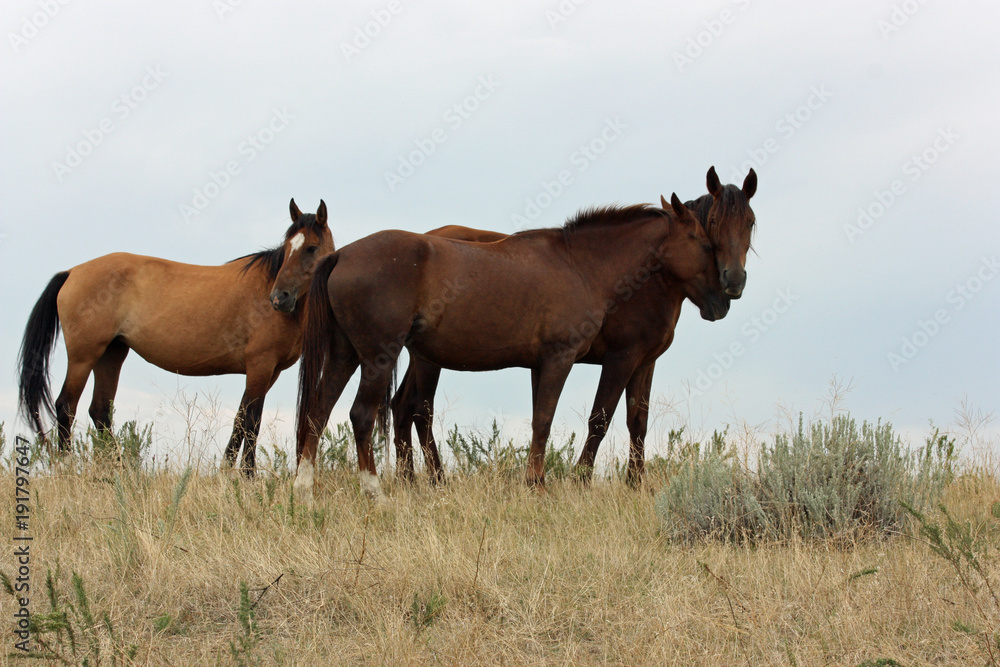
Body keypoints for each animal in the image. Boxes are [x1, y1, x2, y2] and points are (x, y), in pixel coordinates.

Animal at [16, 200, 336, 474]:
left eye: (311, 248)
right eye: (288, 246)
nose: (280, 298)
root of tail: (72, 272)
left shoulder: (268, 372)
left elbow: (239, 419)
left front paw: (225, 473)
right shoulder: (260, 366)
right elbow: (252, 422)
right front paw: (247, 476)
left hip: (111, 354)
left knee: (100, 411)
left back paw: (118, 471)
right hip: (84, 356)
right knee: (65, 407)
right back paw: (68, 470)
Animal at [292, 193, 732, 500]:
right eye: (703, 243)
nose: (723, 300)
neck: (579, 264)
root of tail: (342, 255)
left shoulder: (540, 365)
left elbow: (540, 419)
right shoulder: (560, 358)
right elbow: (546, 421)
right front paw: (537, 484)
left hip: (345, 355)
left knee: (319, 411)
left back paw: (305, 488)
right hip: (378, 358)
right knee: (361, 415)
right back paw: (374, 491)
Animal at [390, 168, 756, 486]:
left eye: (751, 223)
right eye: (711, 227)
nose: (730, 288)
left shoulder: (644, 361)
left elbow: (637, 422)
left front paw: (635, 483)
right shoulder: (620, 357)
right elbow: (599, 418)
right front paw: (580, 480)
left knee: (401, 406)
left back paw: (408, 480)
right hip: (428, 360)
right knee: (420, 411)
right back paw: (435, 480)